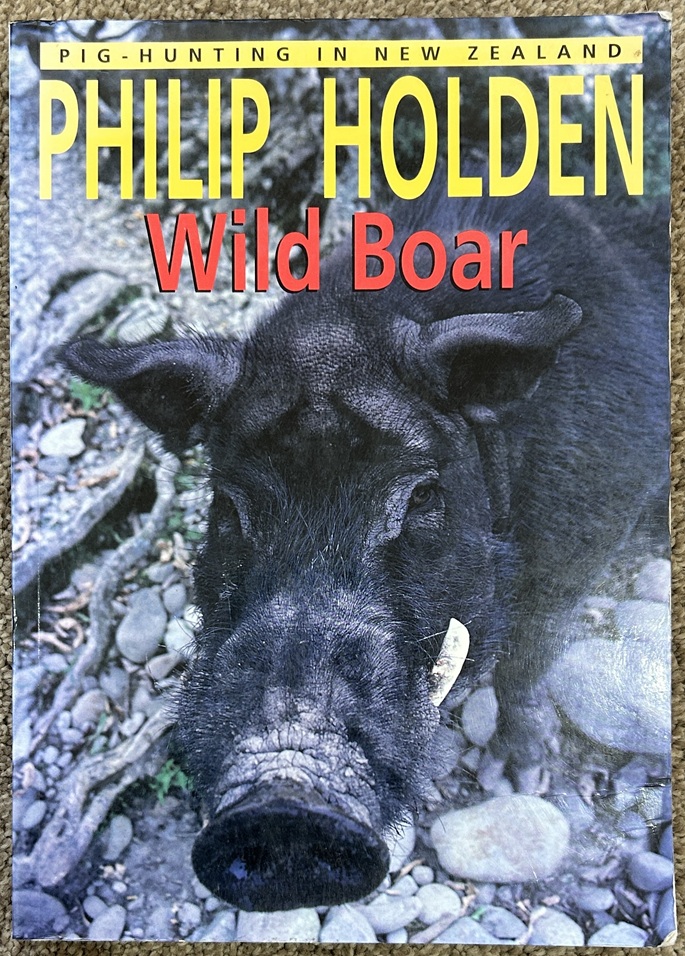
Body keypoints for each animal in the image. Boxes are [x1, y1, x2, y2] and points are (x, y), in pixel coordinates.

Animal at [63, 187, 670, 912]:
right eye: (229, 506)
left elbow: (531, 649)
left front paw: (519, 778)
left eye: (421, 496)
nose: (284, 790)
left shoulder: (588, 530)